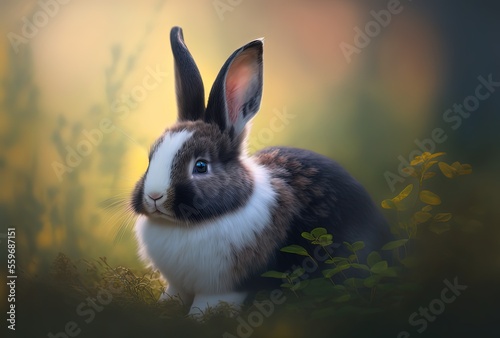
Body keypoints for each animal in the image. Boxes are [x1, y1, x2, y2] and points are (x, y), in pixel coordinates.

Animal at [130, 25, 390, 316]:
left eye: (200, 166)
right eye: (151, 158)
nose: (154, 196)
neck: (189, 225)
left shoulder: (224, 288)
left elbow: (208, 305)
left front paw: (197, 319)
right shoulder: (177, 285)